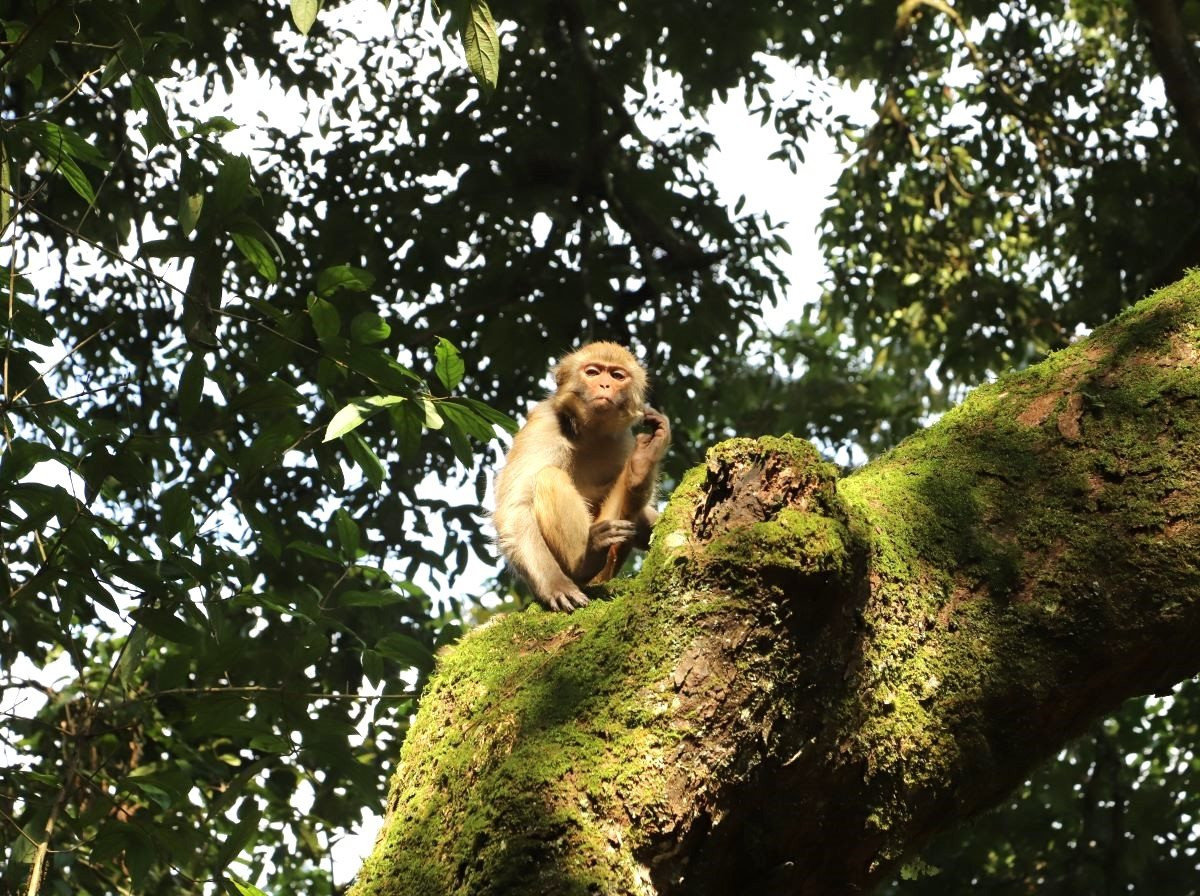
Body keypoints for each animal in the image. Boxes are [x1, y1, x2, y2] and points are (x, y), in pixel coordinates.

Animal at [492, 340, 672, 609]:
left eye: (617, 376)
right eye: (593, 372)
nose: (605, 385)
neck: (589, 433)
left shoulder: (624, 441)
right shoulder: (543, 424)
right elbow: (516, 507)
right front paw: (555, 584)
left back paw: (640, 467)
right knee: (549, 477)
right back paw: (586, 561)